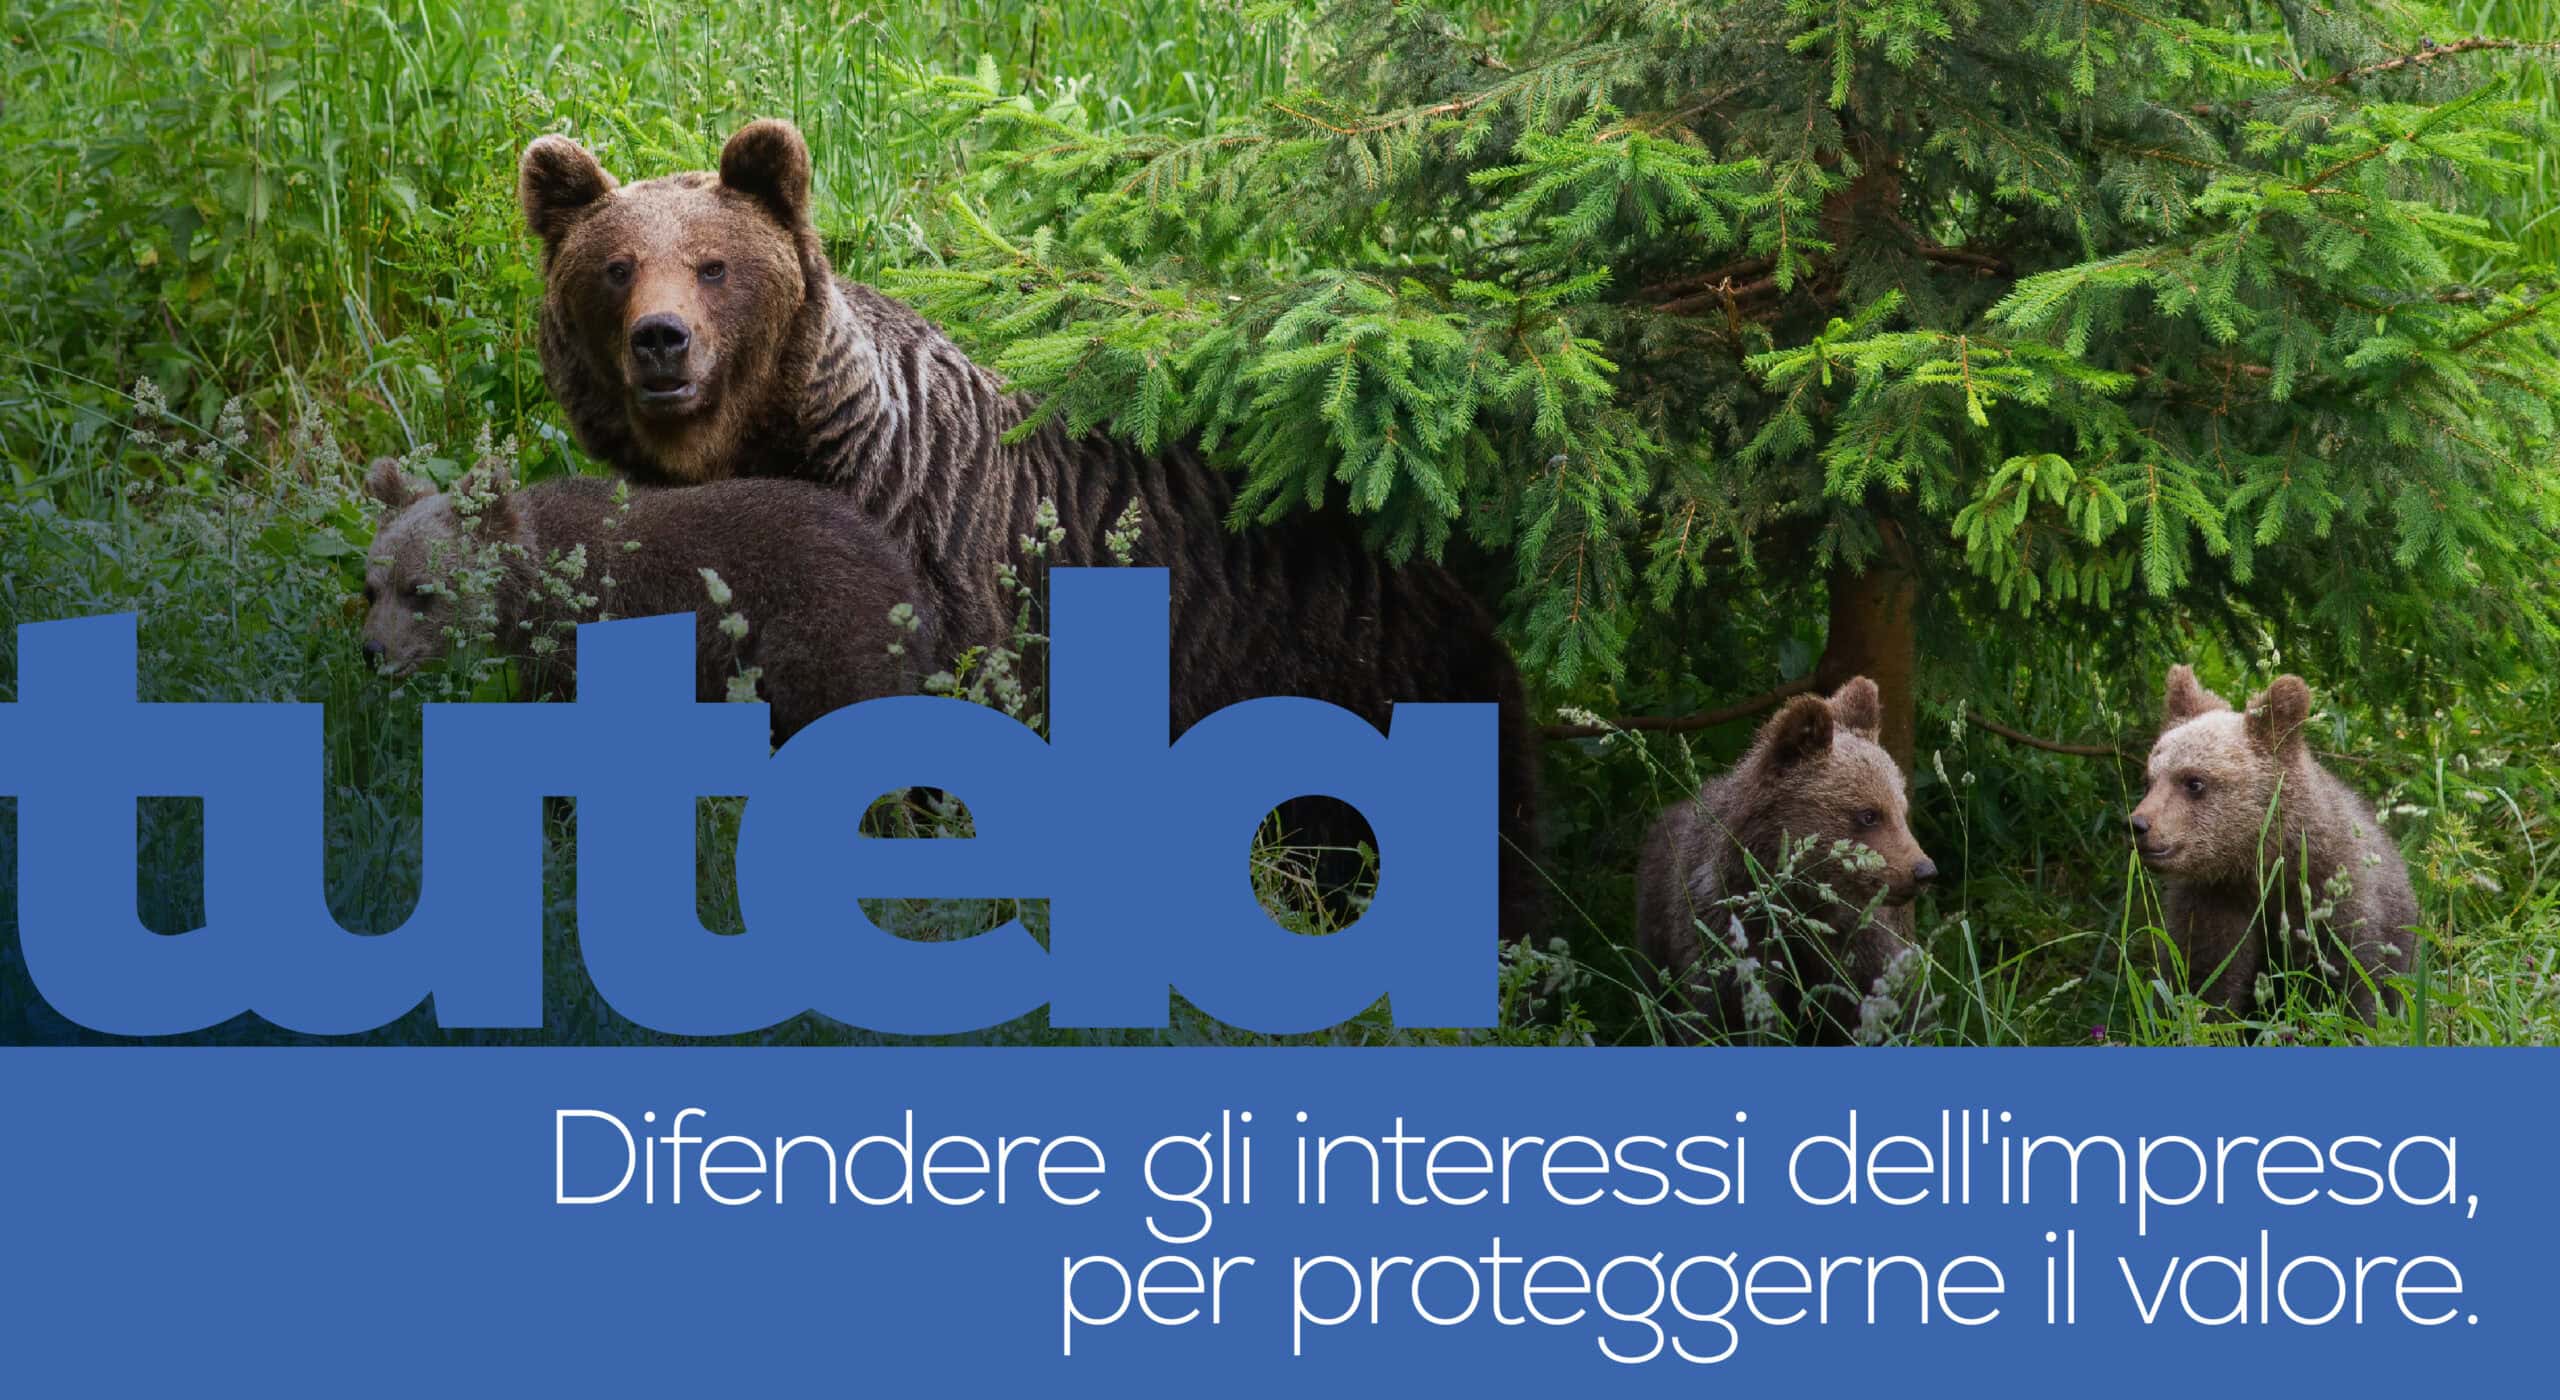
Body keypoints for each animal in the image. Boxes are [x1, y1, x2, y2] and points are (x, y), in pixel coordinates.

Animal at [512, 118, 1538, 939]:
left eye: (713, 264)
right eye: (617, 266)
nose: (662, 340)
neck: (779, 452)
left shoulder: (941, 579)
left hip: (1363, 676)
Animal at [1633, 678, 1938, 1044]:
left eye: (1901, 810)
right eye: (1869, 814)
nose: (1924, 870)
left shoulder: (1852, 946)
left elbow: (1889, 1009)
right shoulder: (1731, 934)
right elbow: (1726, 1017)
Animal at [2130, 666, 2418, 1022]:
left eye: (2194, 781)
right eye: (2149, 779)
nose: (2139, 824)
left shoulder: (2329, 897)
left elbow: (2345, 983)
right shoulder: (2213, 902)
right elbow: (2203, 980)